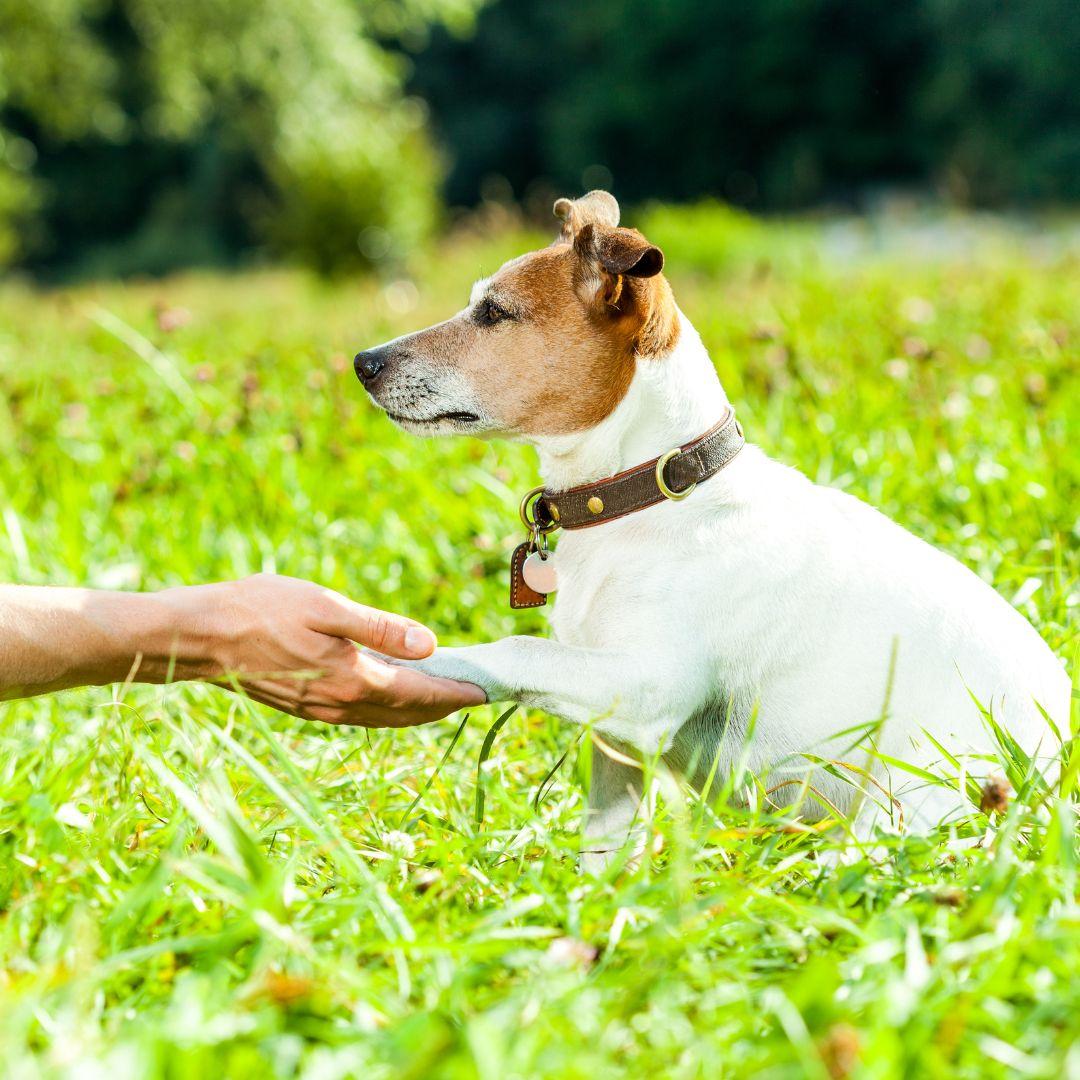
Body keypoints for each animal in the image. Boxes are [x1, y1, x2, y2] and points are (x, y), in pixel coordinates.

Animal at [356, 192, 1071, 868]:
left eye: (494, 313)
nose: (364, 360)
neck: (650, 498)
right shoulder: (618, 743)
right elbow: (604, 848)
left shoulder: (649, 682)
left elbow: (516, 650)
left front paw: (407, 657)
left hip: (916, 792)